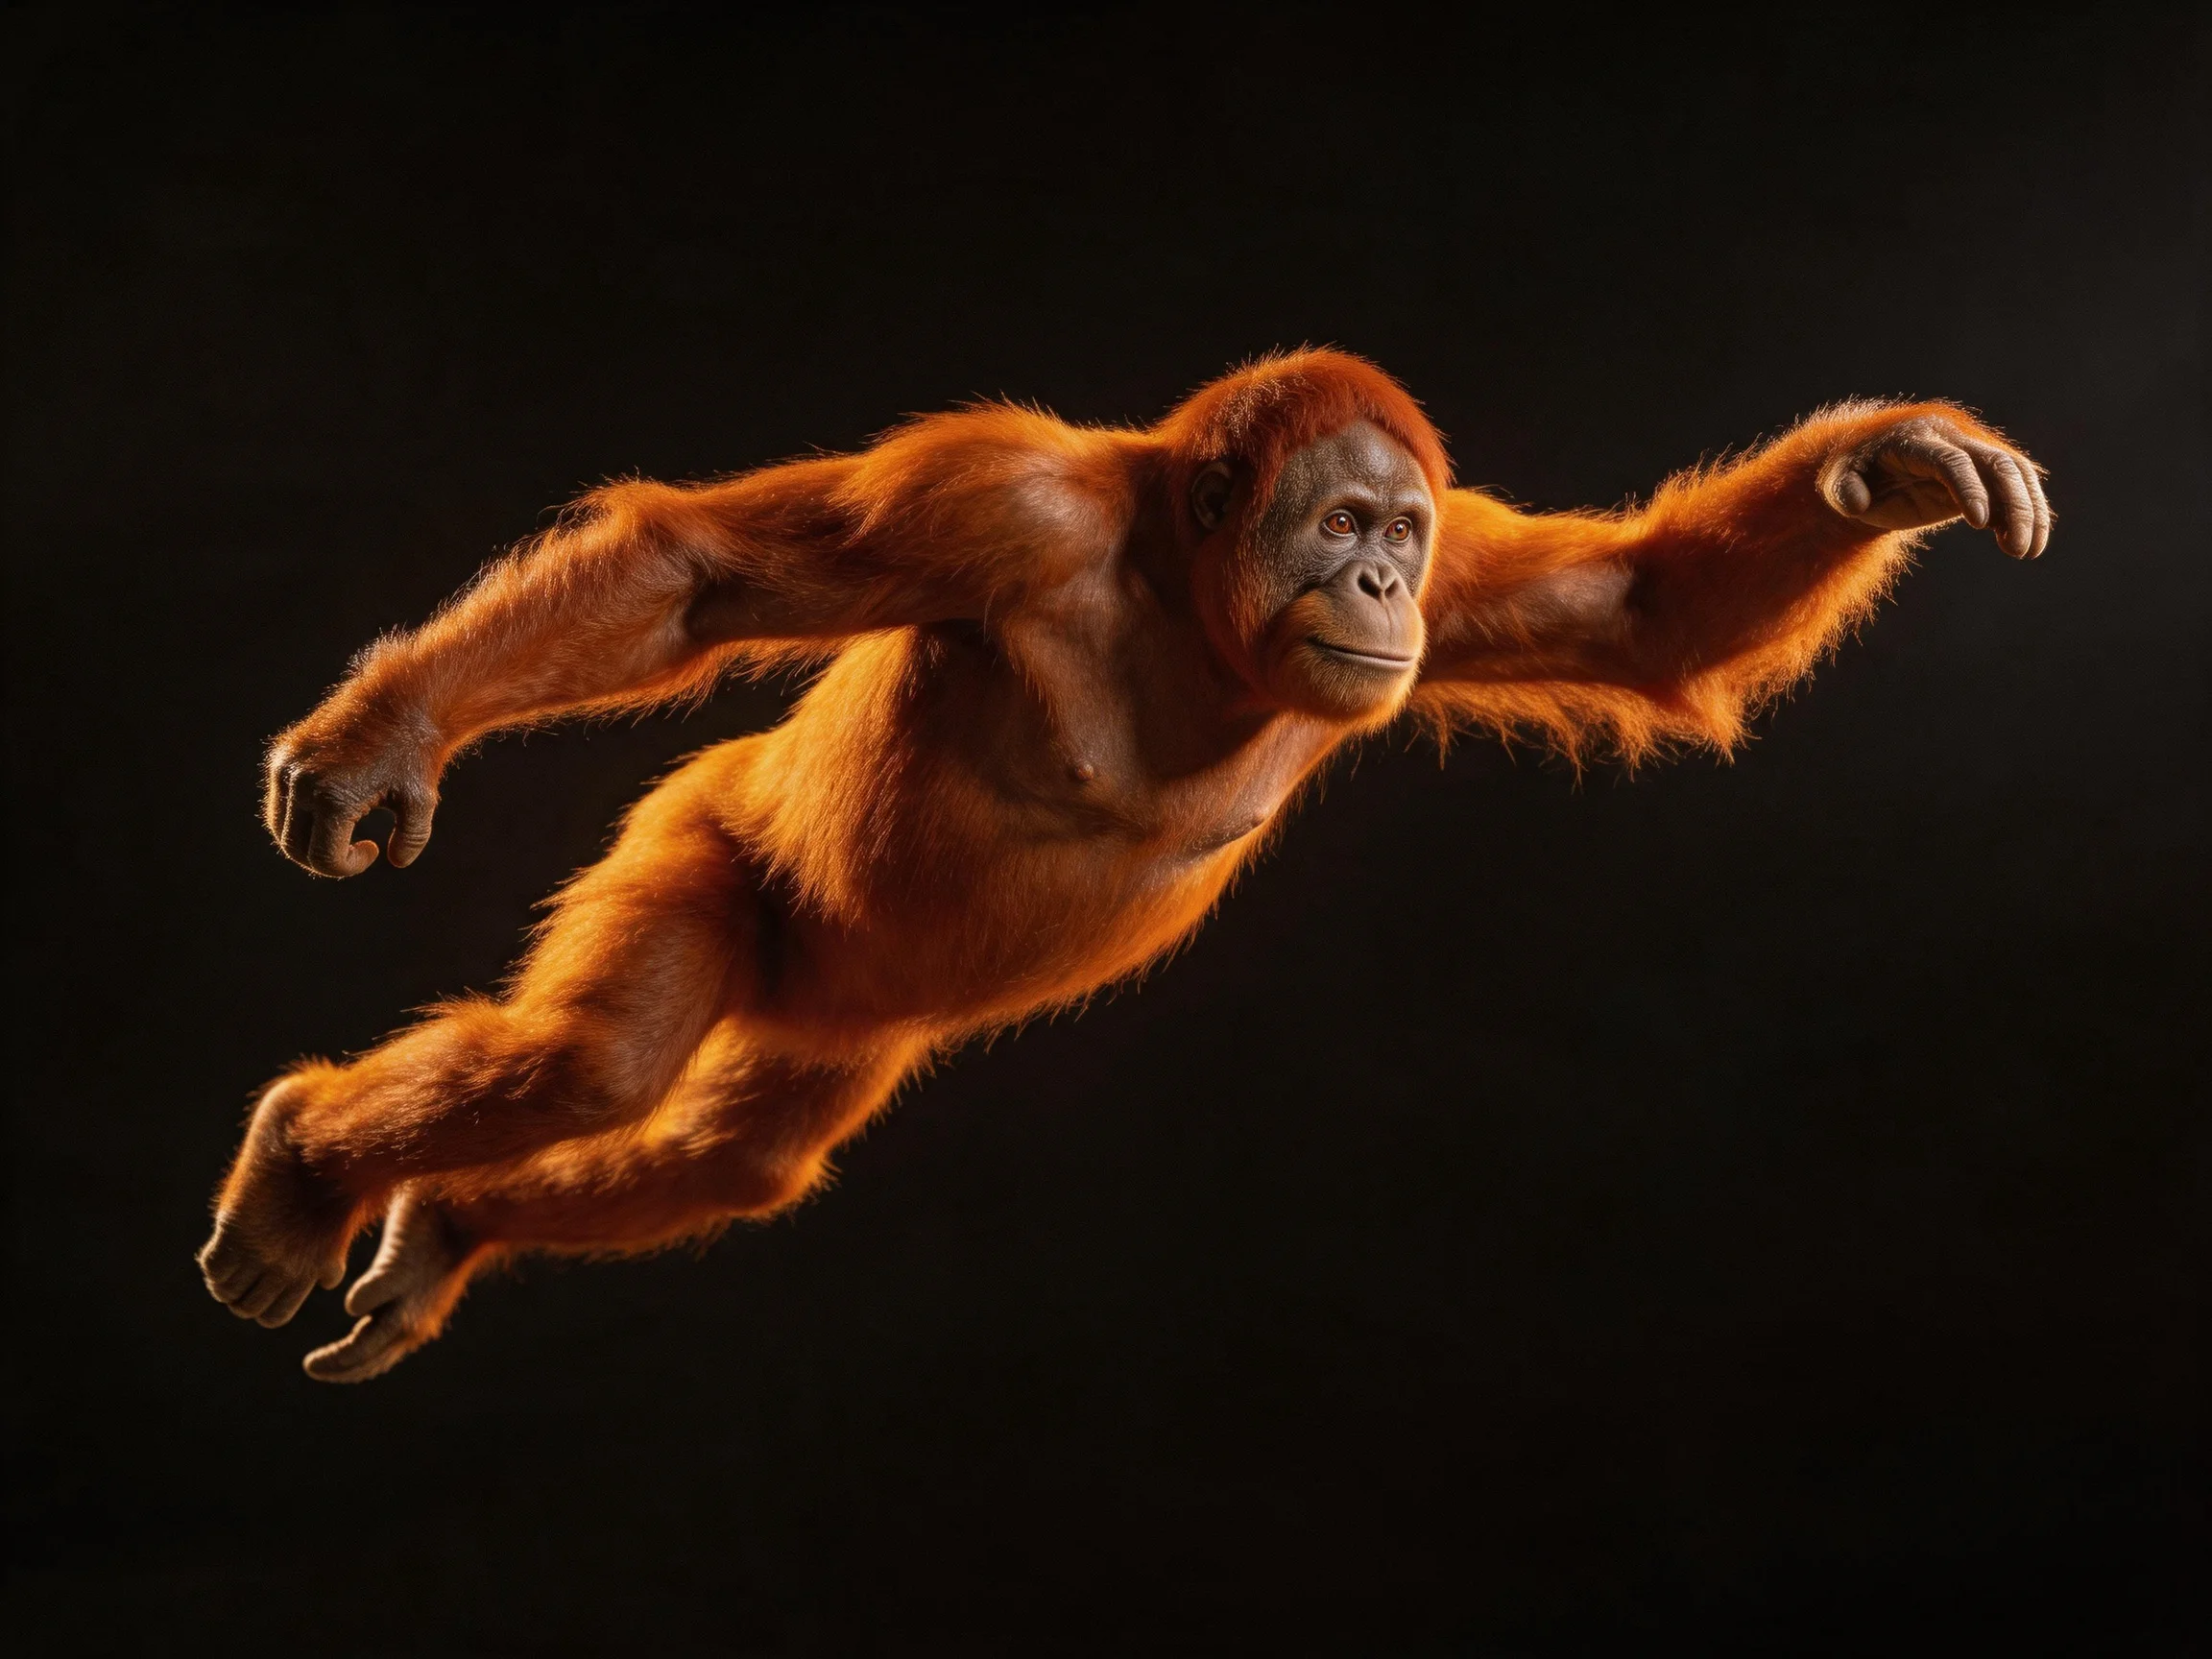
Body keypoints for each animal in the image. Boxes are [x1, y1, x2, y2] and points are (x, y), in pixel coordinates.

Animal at [196, 350, 2051, 1381]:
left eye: (1396, 534)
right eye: (1334, 524)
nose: (1375, 586)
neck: (1179, 588)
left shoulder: (1469, 586)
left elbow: (1643, 610)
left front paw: (1890, 459)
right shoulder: (993, 502)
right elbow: (694, 575)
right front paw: (383, 732)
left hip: (840, 1025)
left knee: (728, 1159)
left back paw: (438, 1223)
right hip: (705, 836)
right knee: (592, 1062)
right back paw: (299, 1163)